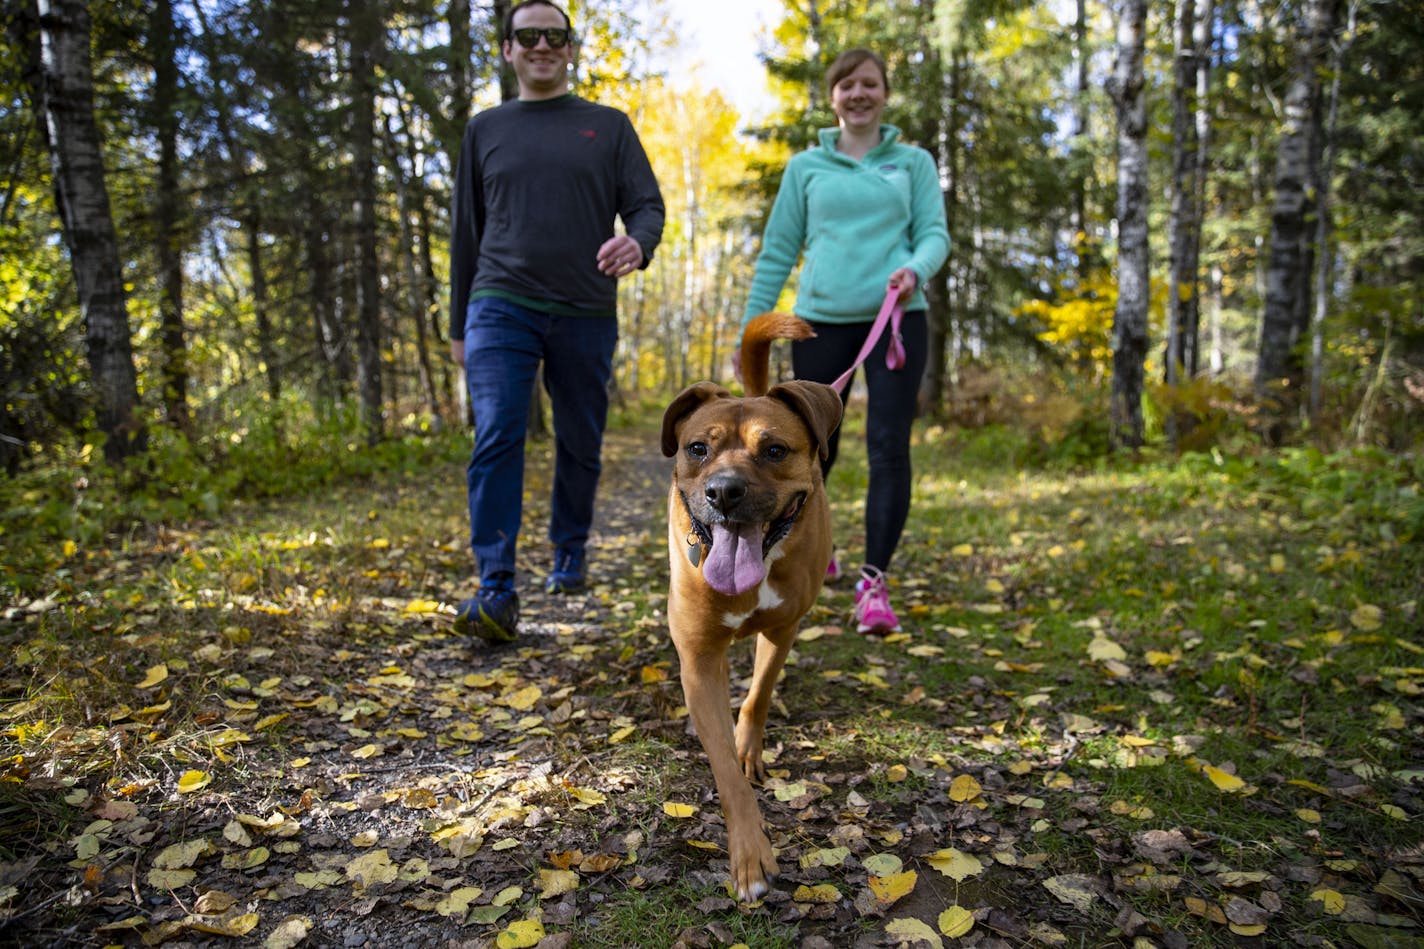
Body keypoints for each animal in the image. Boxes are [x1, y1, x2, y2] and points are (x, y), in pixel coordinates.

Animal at [657, 313, 837, 900]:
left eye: (775, 450)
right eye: (697, 449)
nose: (724, 491)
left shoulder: (783, 630)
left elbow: (757, 697)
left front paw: (747, 747)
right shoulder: (697, 661)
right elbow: (725, 771)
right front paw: (750, 857)